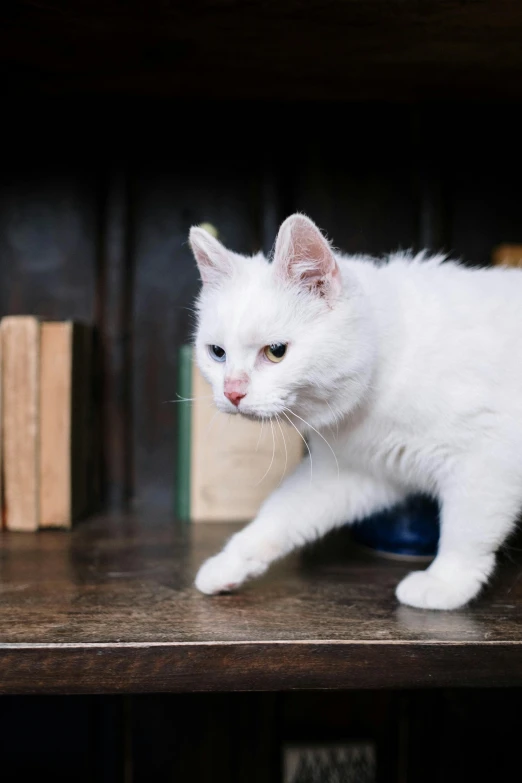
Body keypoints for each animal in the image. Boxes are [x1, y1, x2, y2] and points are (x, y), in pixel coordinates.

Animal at [187, 214, 520, 612]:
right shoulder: (355, 471)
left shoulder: (486, 461)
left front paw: (446, 583)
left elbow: (465, 529)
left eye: (276, 351)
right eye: (217, 353)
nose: (232, 392)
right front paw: (229, 562)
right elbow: (280, 515)